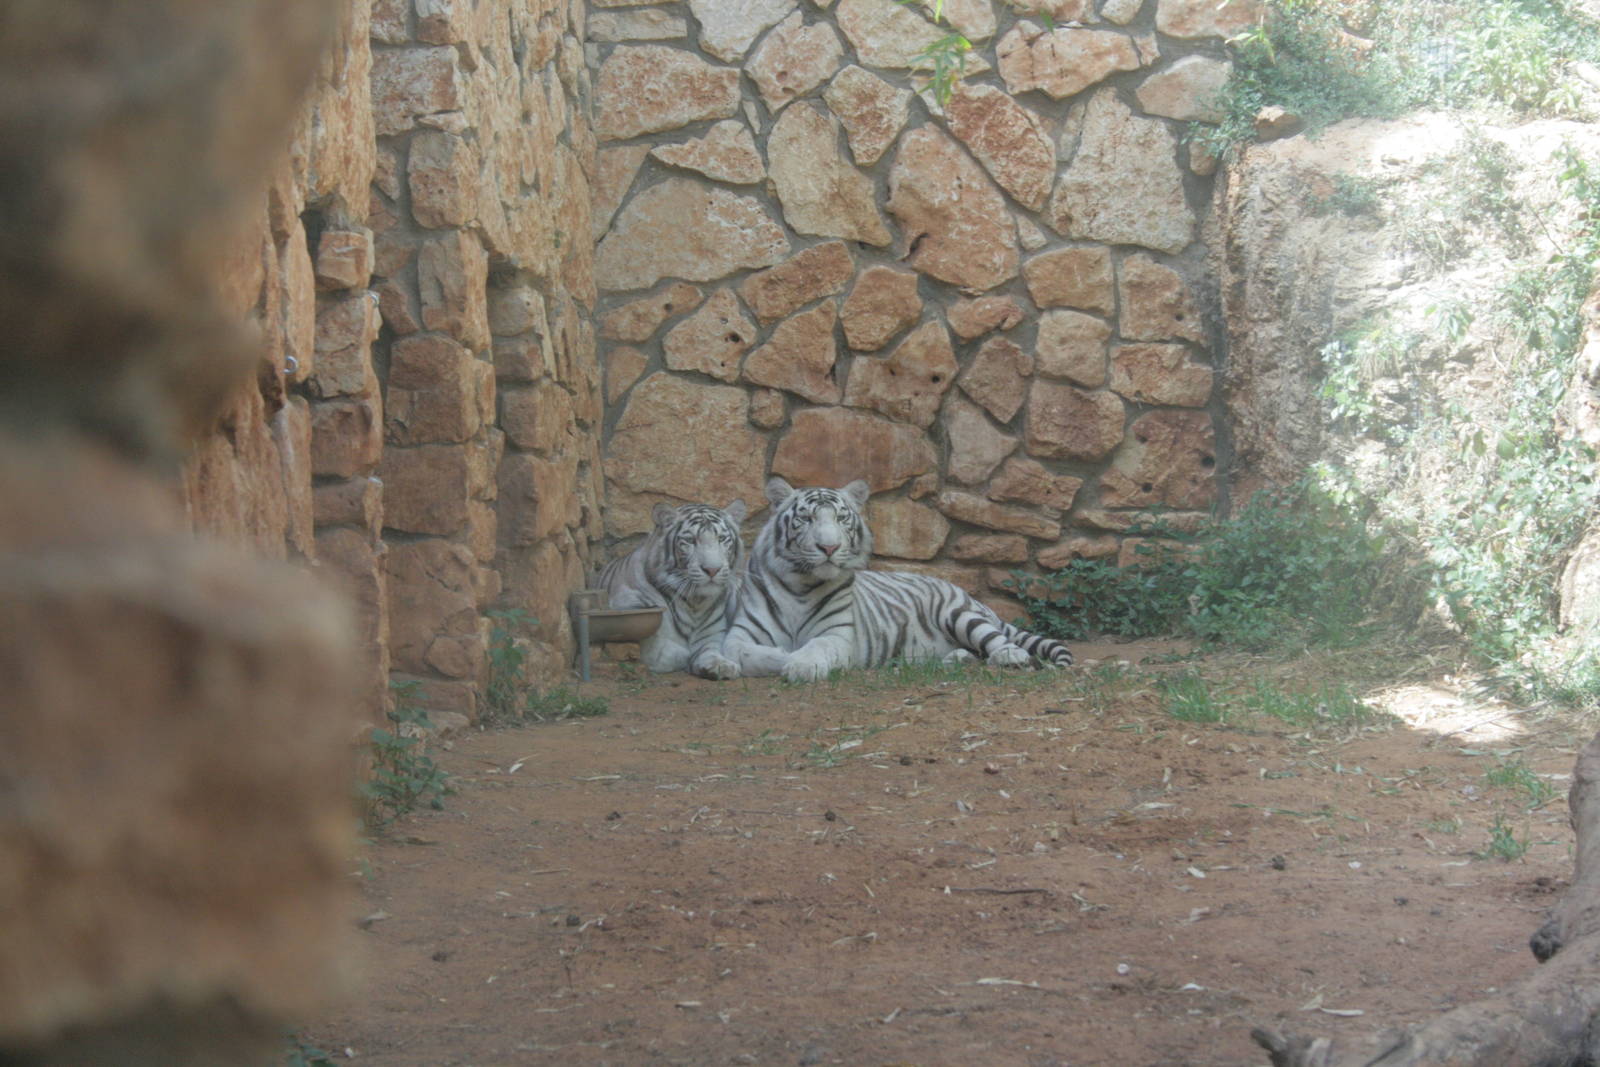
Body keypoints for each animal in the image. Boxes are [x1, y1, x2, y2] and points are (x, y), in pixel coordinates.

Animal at [597, 499, 747, 679]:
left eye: (722, 539)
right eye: (690, 540)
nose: (712, 570)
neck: (695, 603)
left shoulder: (711, 637)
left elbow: (710, 652)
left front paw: (723, 666)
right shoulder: (636, 619)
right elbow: (669, 652)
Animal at [721, 478, 1073, 683]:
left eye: (841, 518)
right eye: (806, 518)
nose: (829, 548)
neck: (801, 584)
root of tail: (971, 597)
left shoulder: (836, 634)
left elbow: (815, 646)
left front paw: (801, 664)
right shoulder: (739, 635)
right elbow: (752, 654)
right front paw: (785, 657)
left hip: (959, 615)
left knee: (999, 642)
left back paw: (1010, 658)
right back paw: (951, 659)